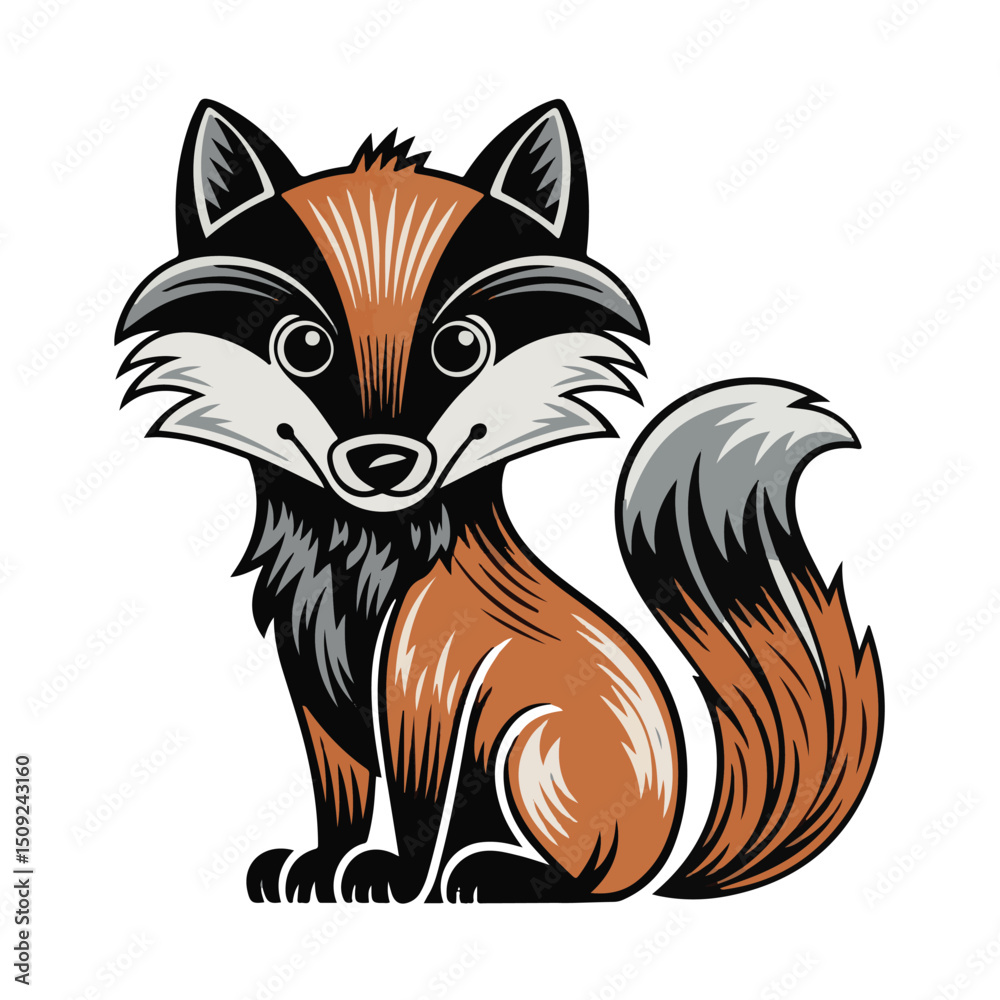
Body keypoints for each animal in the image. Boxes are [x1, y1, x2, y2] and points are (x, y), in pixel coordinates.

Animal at [115, 99, 883, 904]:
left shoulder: (427, 683)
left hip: (528, 743)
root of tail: (671, 857)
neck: (365, 557)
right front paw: (326, 865)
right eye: (303, 347)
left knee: (586, 879)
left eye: (460, 347)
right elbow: (341, 800)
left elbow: (417, 807)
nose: (382, 461)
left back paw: (498, 872)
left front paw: (396, 878)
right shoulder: (313, 692)